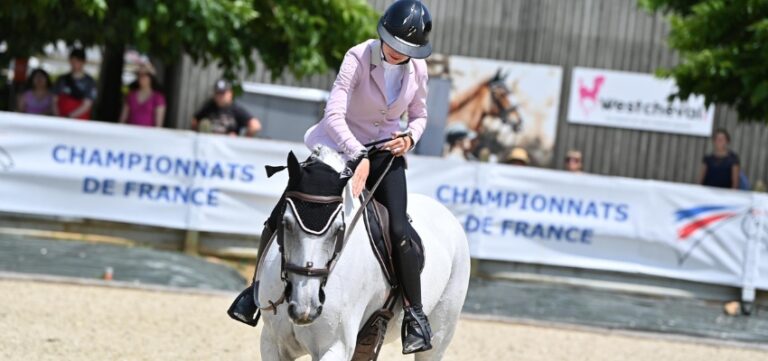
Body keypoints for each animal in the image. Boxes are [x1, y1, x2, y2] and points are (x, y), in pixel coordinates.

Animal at [258, 146, 472, 360]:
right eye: (285, 223)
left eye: (339, 229)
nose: (306, 308)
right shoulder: (271, 342)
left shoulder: (336, 346)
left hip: (441, 330)